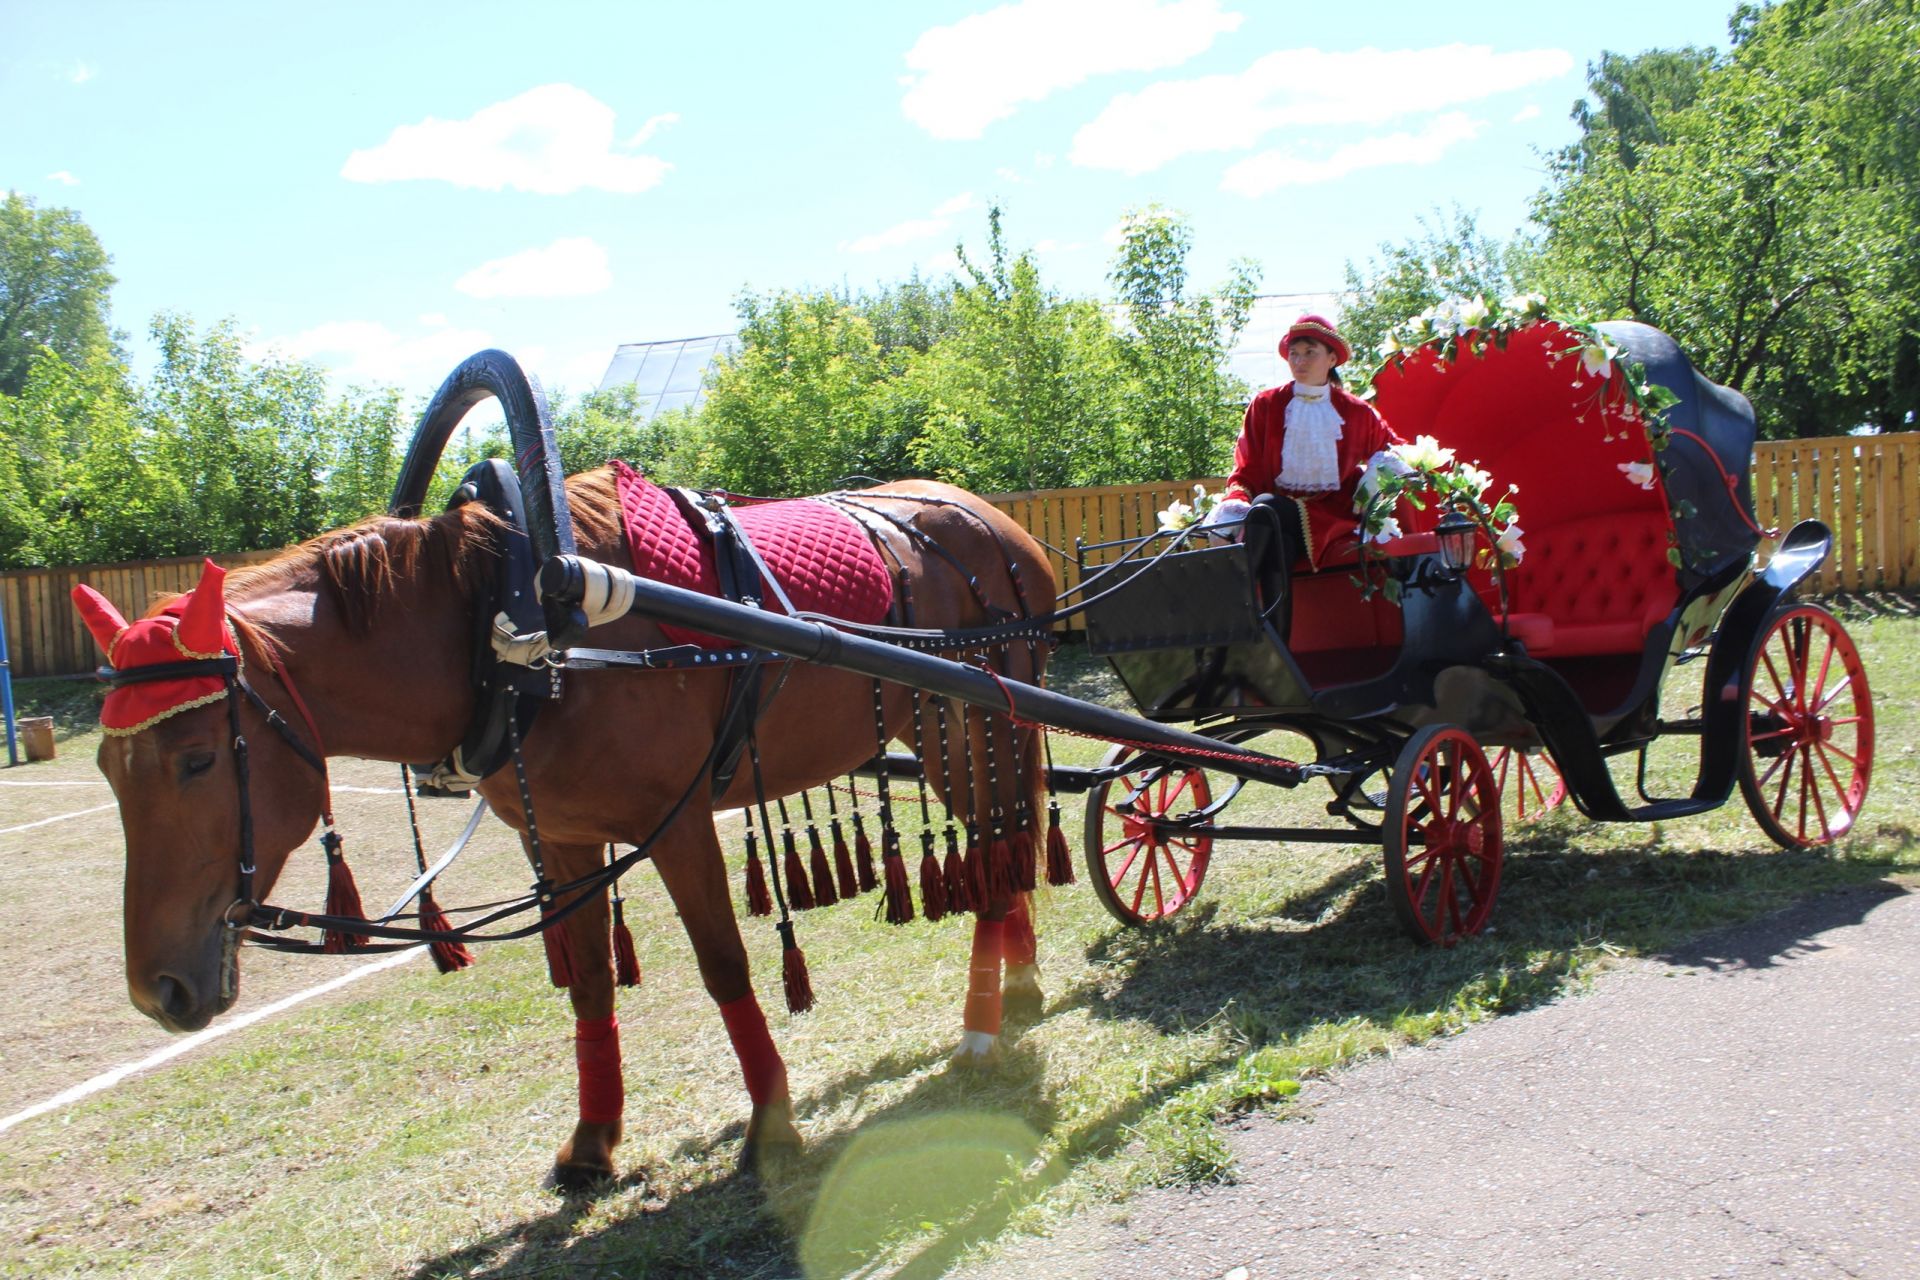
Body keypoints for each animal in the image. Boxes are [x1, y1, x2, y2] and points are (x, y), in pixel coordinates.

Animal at [78, 468, 1052, 1189]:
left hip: (980, 716)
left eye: (197, 758)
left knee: (1001, 847)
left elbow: (724, 966)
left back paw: (983, 1023)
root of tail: (999, 526)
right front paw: (593, 1140)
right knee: (999, 847)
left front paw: (772, 1124)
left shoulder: (678, 821)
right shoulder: (562, 839)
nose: (157, 990)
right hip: (952, 726)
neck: (519, 632)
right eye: (106, 769)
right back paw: (1017, 984)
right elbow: (588, 984)